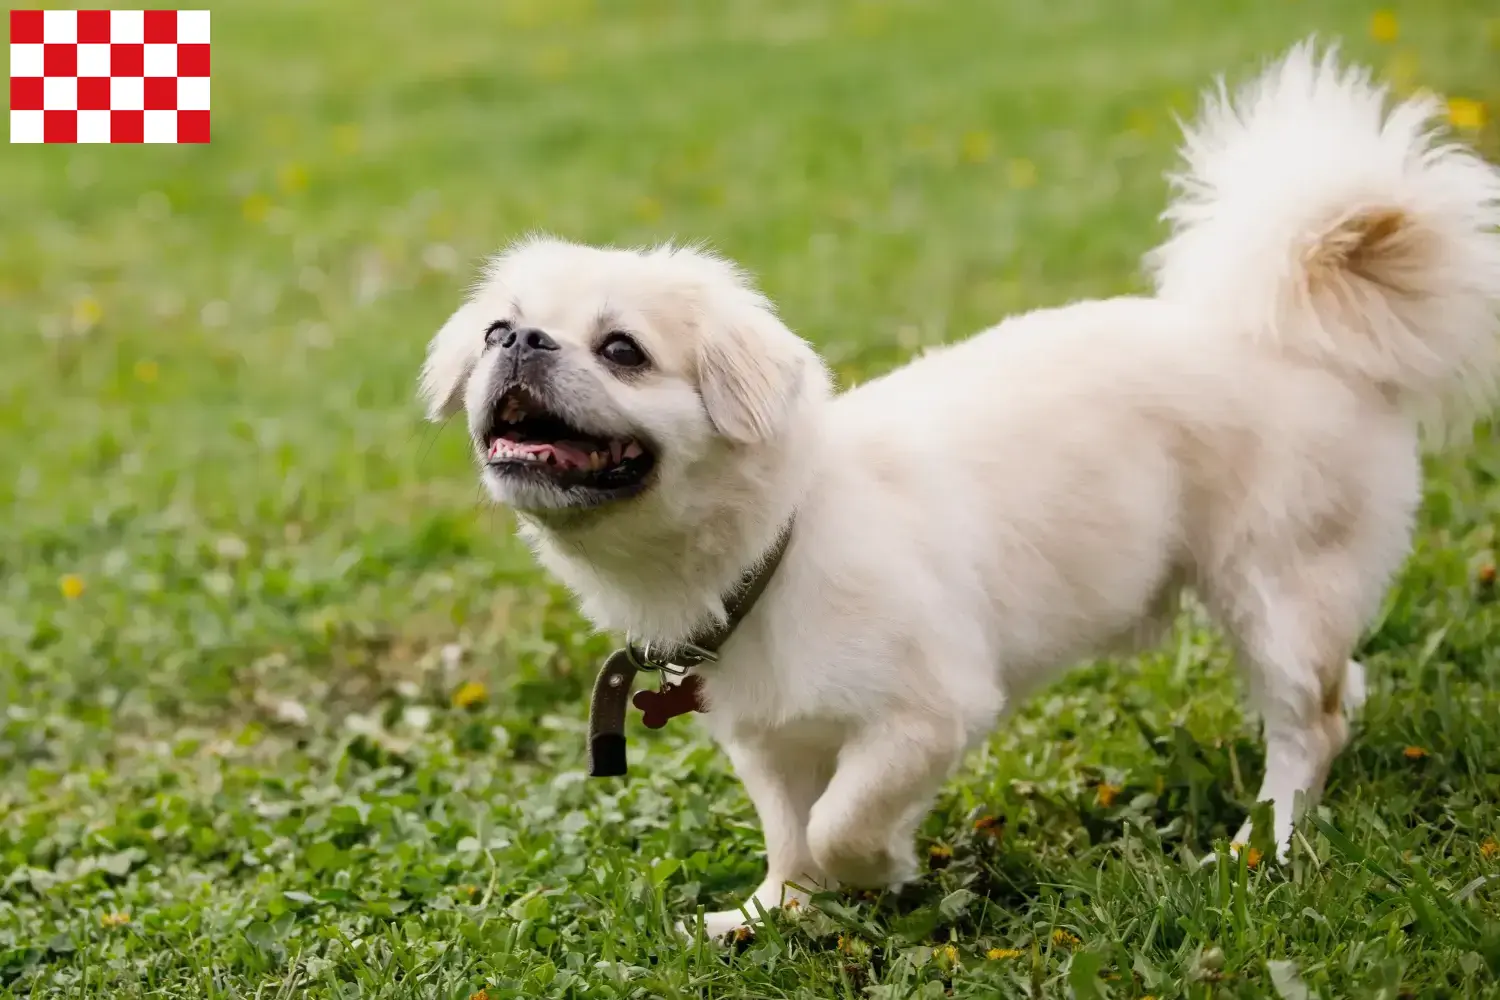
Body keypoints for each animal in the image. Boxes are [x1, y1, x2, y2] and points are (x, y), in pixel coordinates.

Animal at [420, 44, 1500, 941]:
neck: (776, 546)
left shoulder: (927, 714)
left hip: (1273, 588)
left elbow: (842, 820)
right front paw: (772, 913)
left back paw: (1261, 844)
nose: (521, 341)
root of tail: (1298, 334)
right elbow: (789, 834)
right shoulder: (769, 744)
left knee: (1310, 719)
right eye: (498, 330)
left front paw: (879, 872)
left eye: (622, 351)